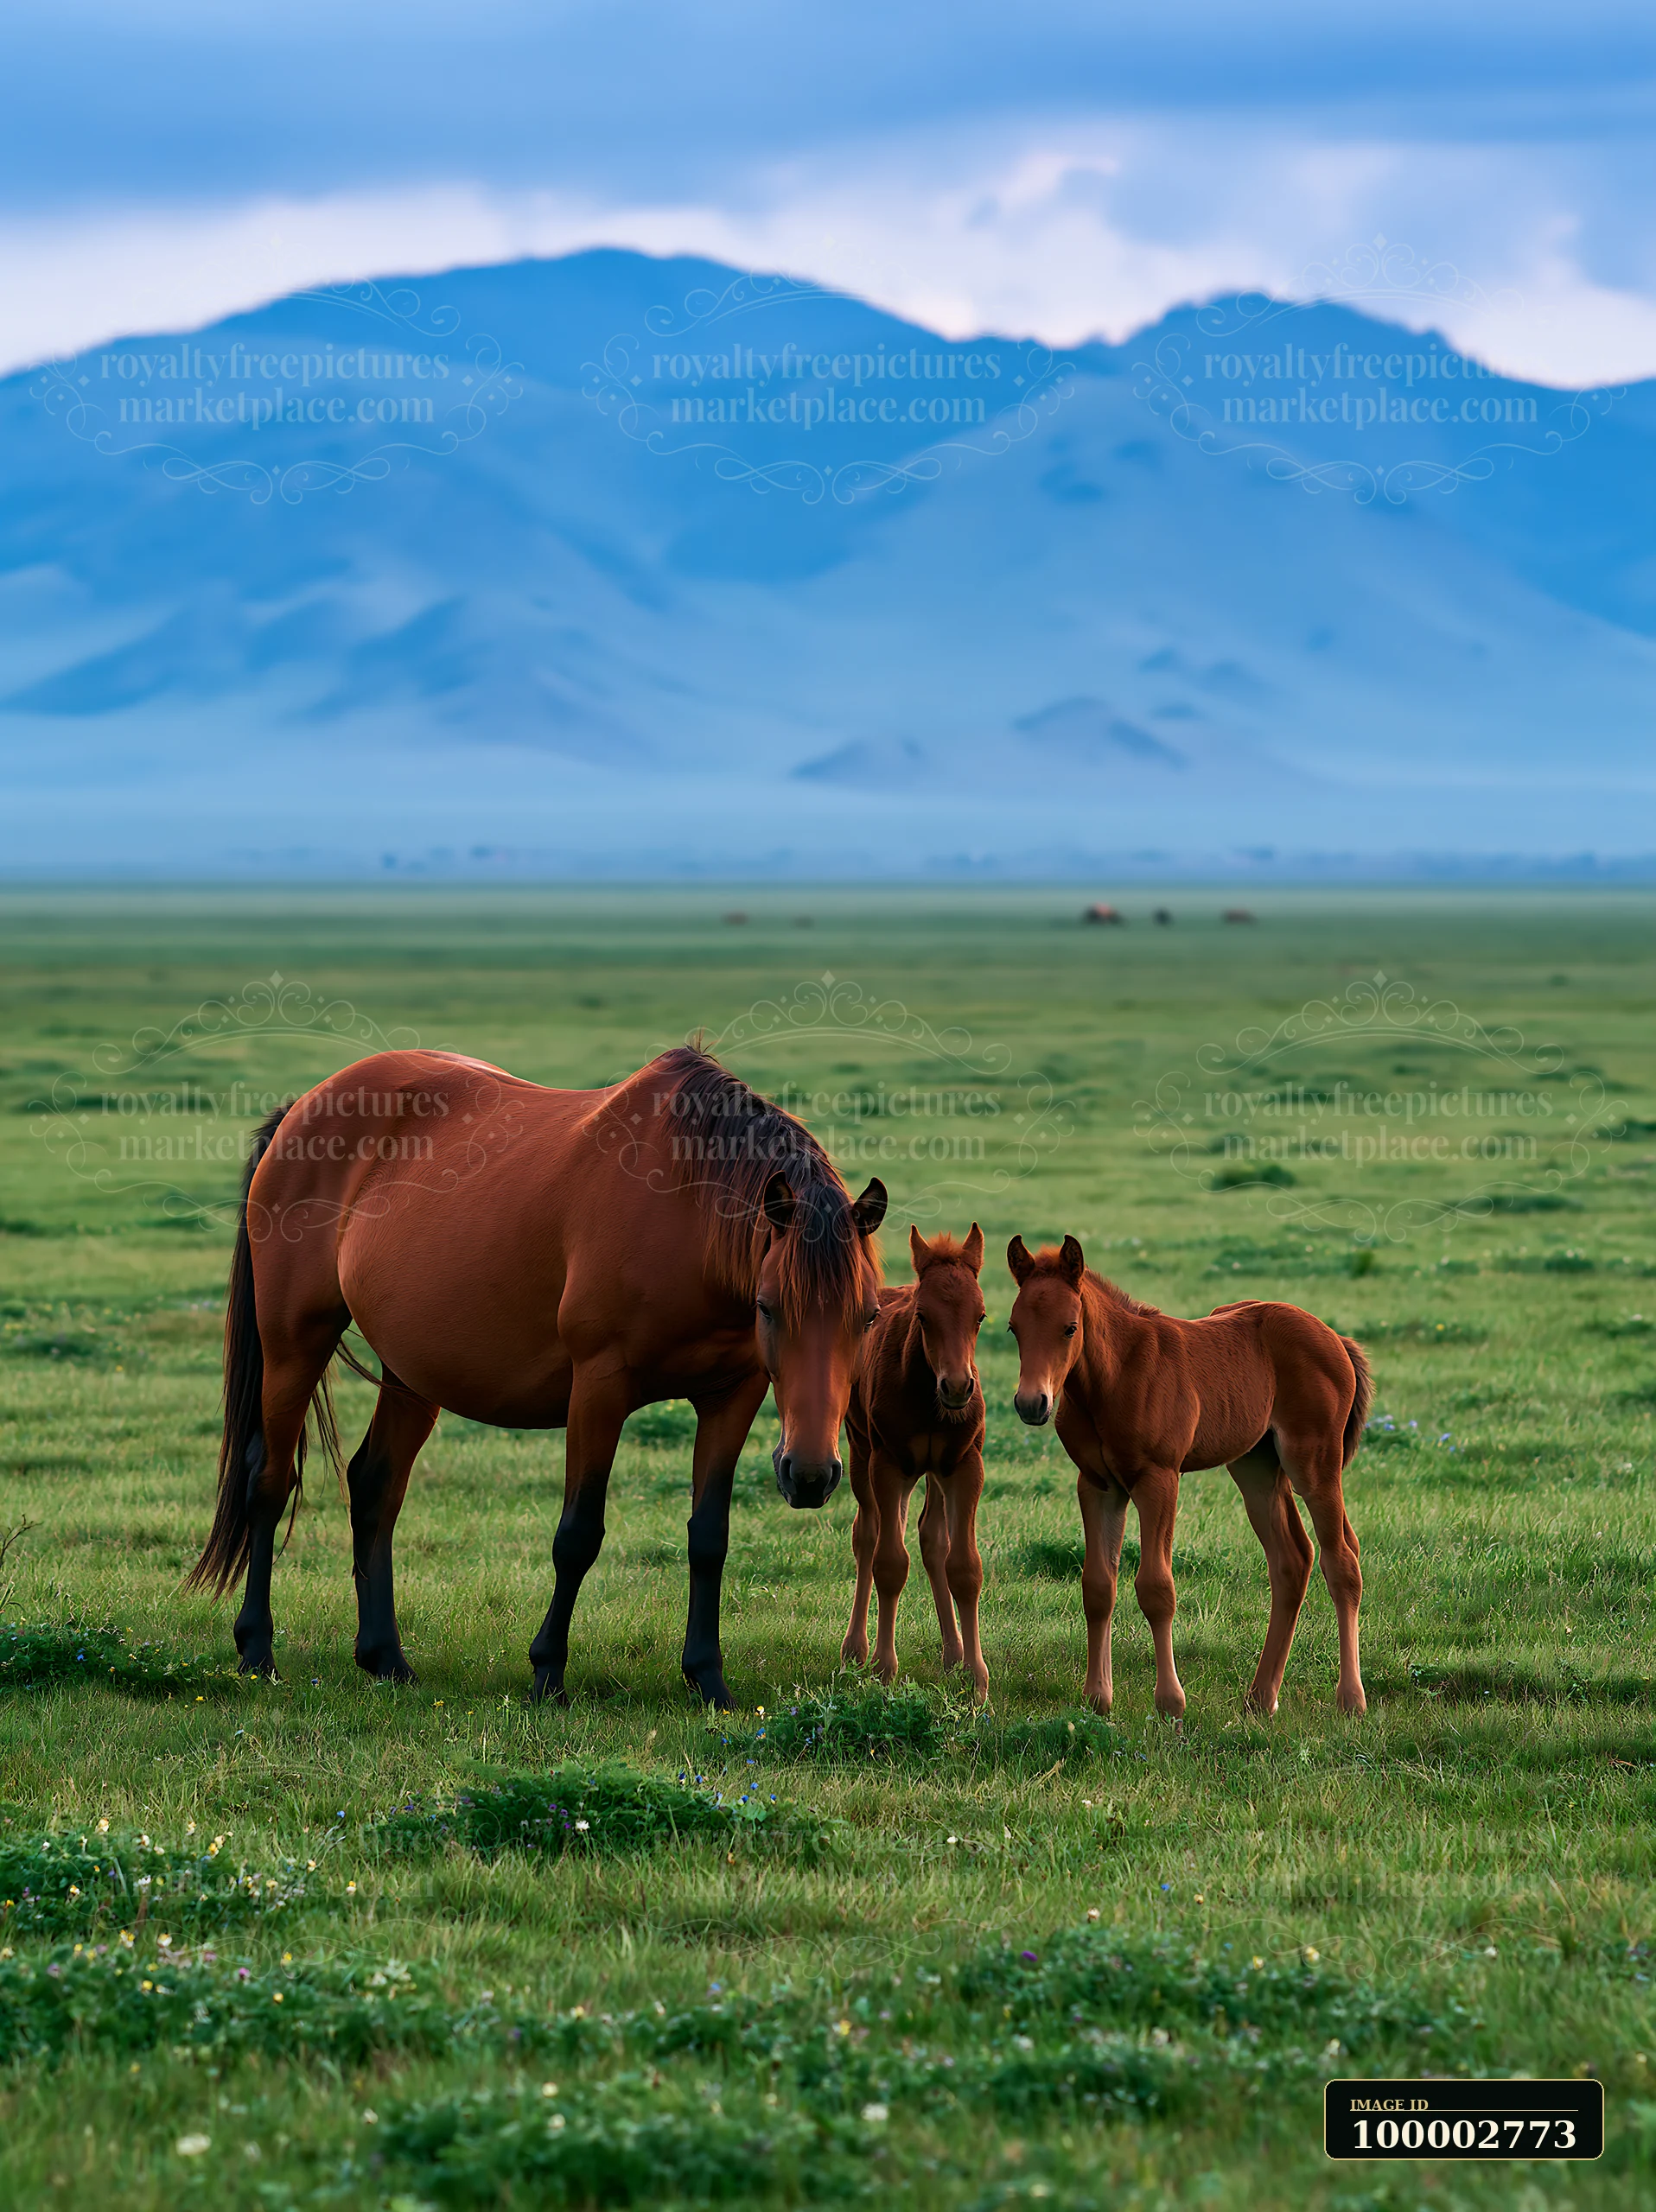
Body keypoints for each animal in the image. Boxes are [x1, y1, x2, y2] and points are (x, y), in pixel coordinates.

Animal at [185, 1045, 886, 1708]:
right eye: (768, 1308)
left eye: (869, 1316)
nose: (811, 1475)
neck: (686, 1206)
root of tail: (302, 1108)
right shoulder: (600, 1387)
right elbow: (578, 1535)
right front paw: (548, 1675)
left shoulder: (732, 1396)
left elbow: (709, 1537)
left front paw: (708, 1679)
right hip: (293, 1344)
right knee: (269, 1482)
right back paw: (257, 1651)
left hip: (411, 1372)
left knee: (375, 1485)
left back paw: (386, 1658)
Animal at [839, 1225, 990, 1697]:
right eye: (923, 1316)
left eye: (981, 1316)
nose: (958, 1387)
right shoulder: (888, 1465)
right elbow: (889, 1563)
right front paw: (884, 1669)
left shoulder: (964, 1465)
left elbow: (964, 1567)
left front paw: (976, 1678)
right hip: (862, 1453)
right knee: (868, 1535)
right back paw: (855, 1649)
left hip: (934, 1472)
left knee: (931, 1537)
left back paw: (953, 1654)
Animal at [1005, 1235, 1371, 1717]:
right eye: (1013, 1328)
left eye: (1069, 1327)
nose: (1032, 1404)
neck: (1116, 1376)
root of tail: (1336, 1338)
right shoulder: (1098, 1485)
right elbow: (1098, 1586)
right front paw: (1097, 1699)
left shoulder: (1159, 1479)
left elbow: (1156, 1589)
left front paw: (1169, 1702)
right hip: (1256, 1466)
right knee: (1292, 1560)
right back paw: (1260, 1697)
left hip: (1314, 1460)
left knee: (1341, 1559)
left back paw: (1350, 1699)